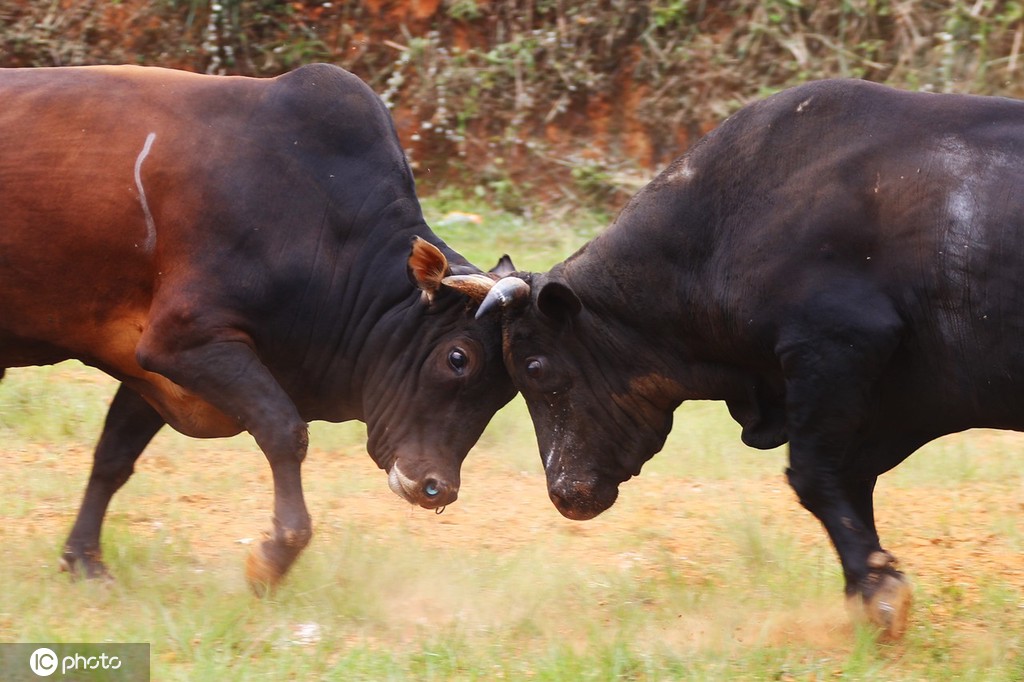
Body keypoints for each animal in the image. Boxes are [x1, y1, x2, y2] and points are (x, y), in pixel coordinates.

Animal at [483, 79, 1024, 638]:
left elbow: (813, 477)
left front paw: (878, 592)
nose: (563, 492)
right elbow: (851, 480)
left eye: (534, 368)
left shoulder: (834, 348)